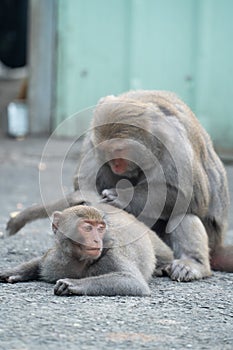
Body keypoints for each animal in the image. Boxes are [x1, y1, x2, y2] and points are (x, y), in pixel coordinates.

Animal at [5, 90, 233, 282]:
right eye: (106, 151)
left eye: (120, 151)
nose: (115, 164)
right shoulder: (93, 141)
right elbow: (82, 184)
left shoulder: (174, 143)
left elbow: (192, 196)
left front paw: (123, 197)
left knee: (183, 213)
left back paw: (193, 264)